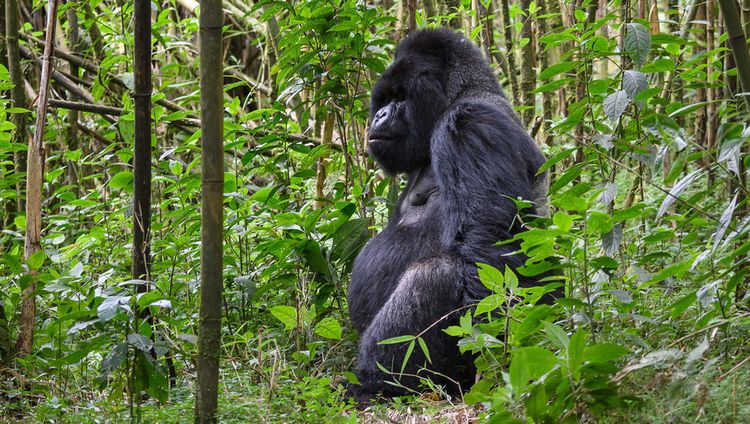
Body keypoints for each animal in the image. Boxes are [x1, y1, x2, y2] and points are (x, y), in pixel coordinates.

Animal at [348, 29, 552, 400]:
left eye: (400, 97)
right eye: (383, 99)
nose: (379, 116)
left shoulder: (469, 124)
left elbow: (487, 247)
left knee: (437, 273)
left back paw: (375, 383)